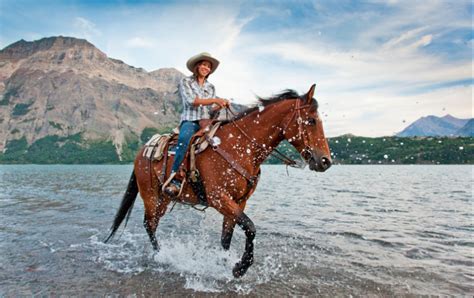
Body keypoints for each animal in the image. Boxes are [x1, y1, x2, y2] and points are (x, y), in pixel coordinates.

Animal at [105, 83, 332, 278]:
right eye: (311, 121)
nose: (325, 161)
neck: (241, 147)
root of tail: (143, 151)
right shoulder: (219, 198)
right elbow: (250, 227)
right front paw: (240, 267)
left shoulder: (239, 201)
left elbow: (227, 237)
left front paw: (223, 264)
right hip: (151, 197)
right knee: (149, 225)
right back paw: (161, 255)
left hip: (163, 198)